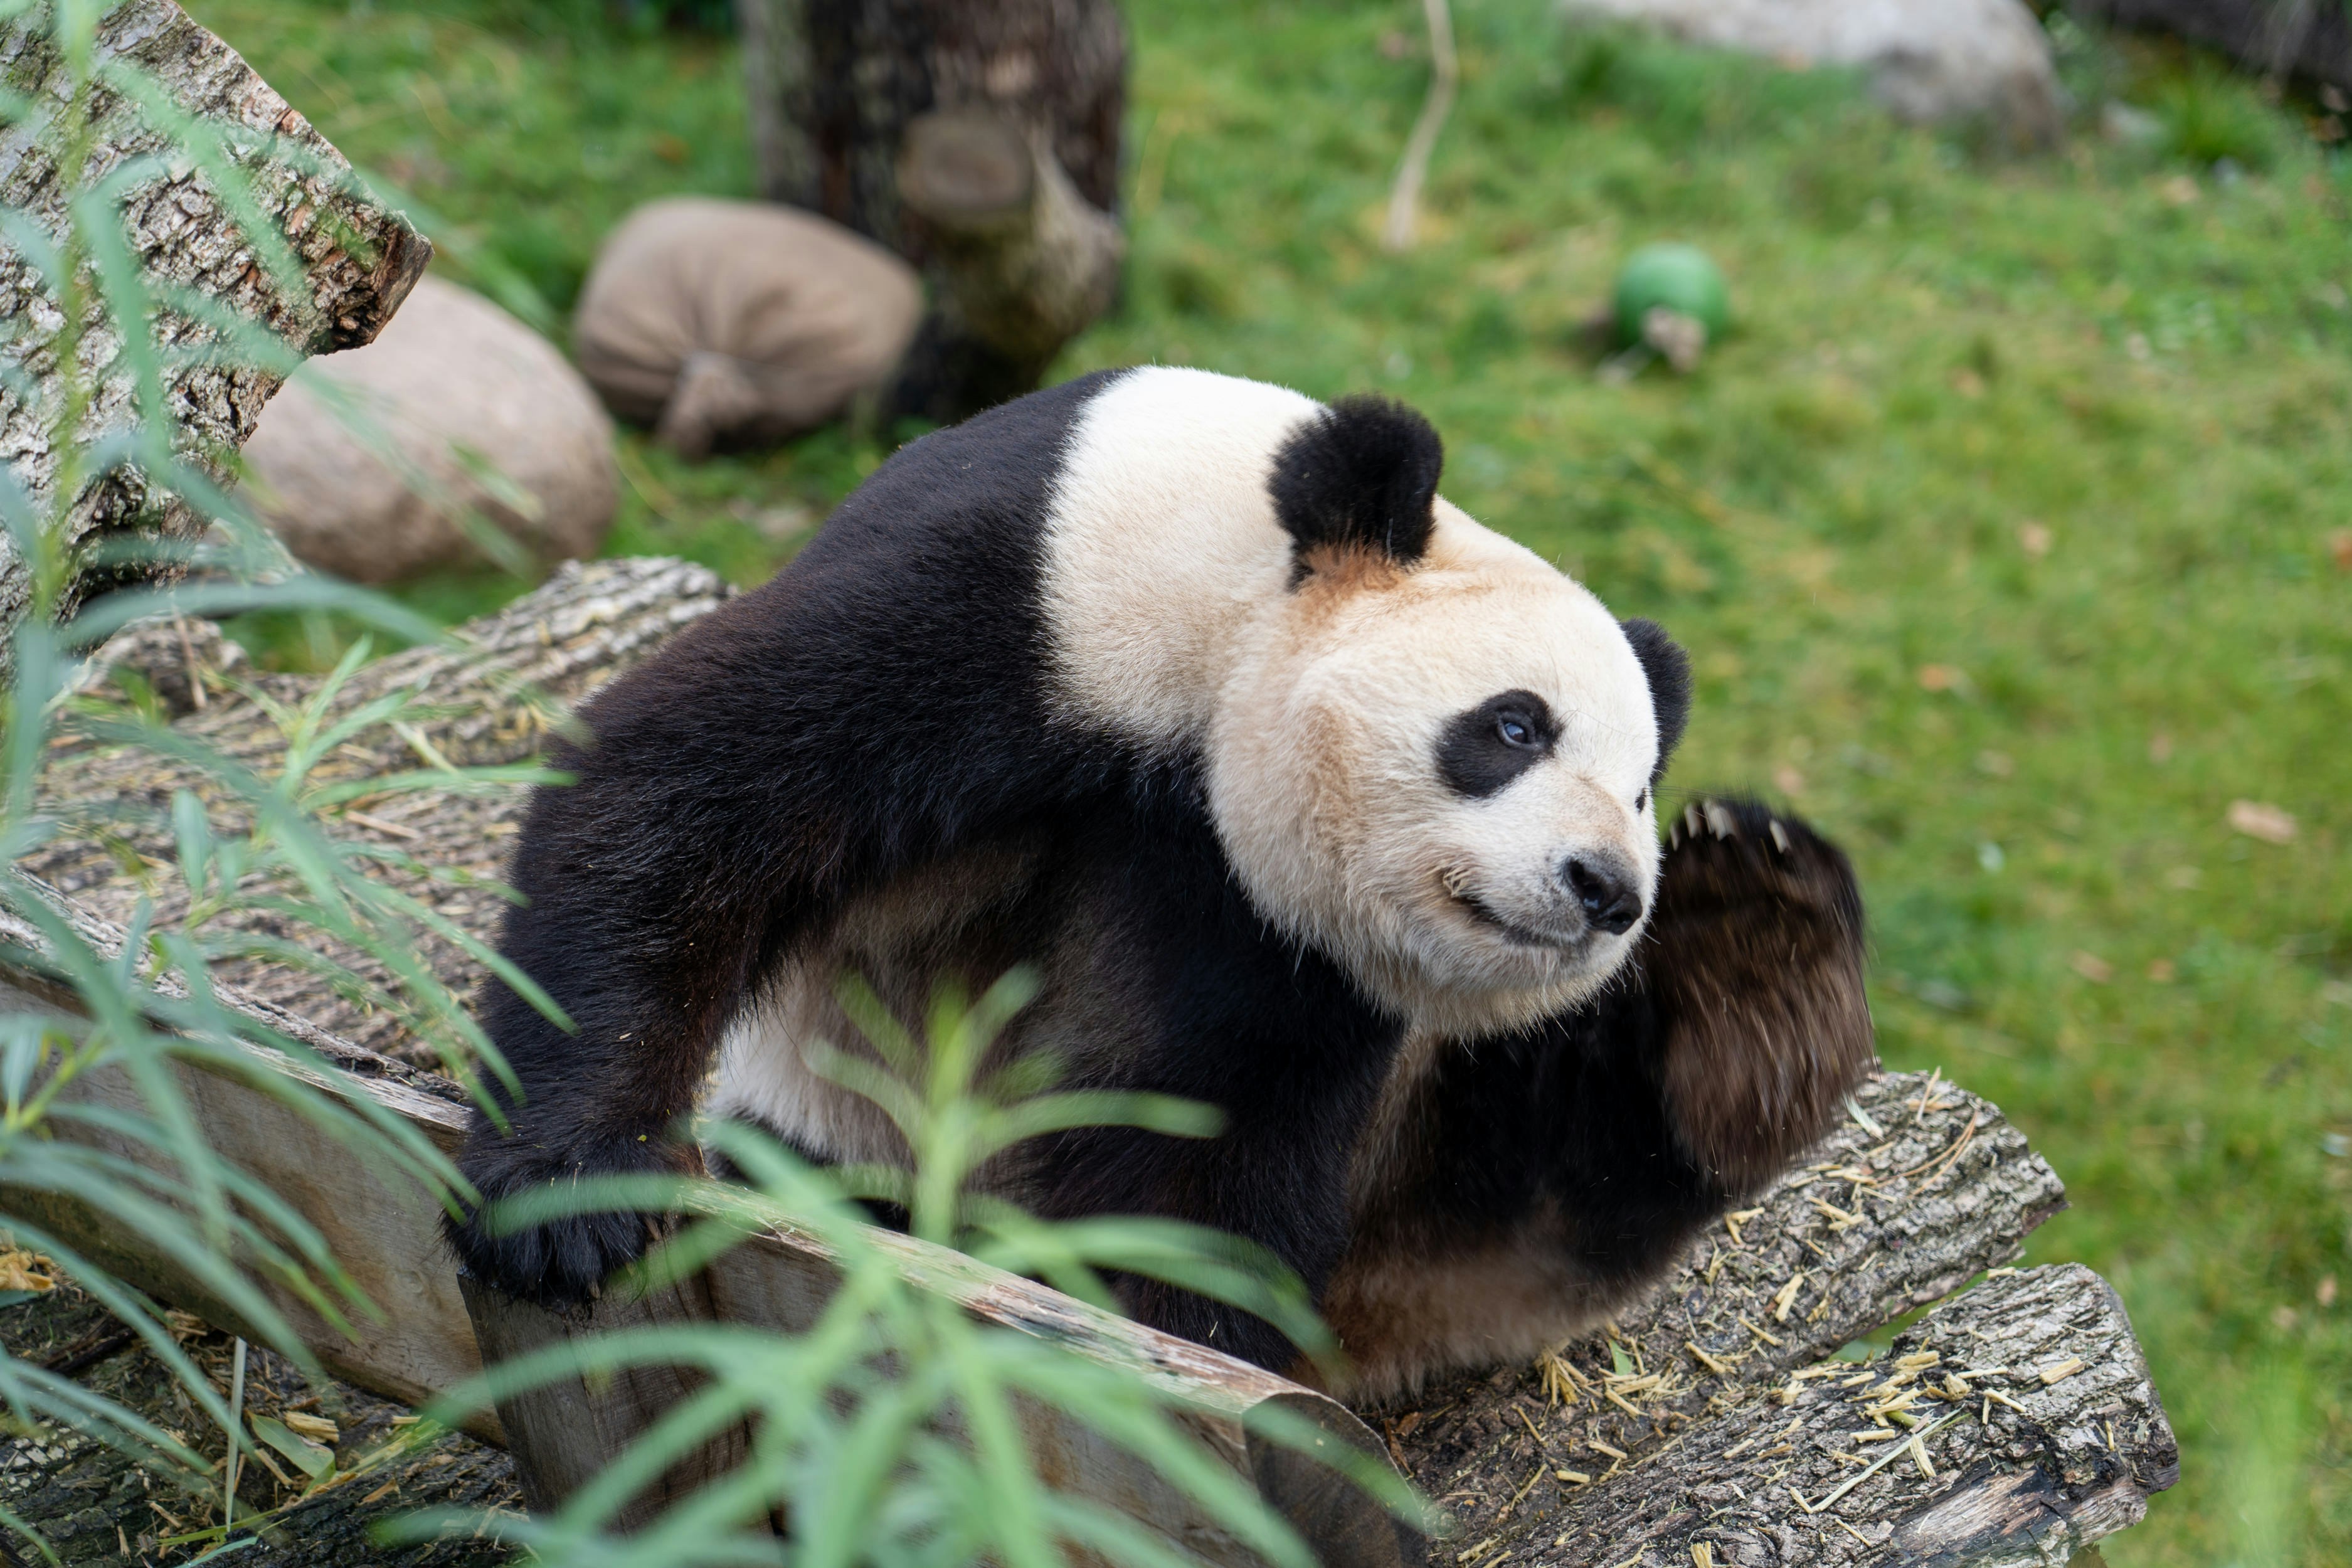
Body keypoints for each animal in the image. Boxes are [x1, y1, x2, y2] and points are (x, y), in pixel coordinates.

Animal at [449, 366, 1875, 1398]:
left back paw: (1758, 939)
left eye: (1639, 789)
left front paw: (1170, 1358)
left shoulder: (1281, 940)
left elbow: (1202, 1140)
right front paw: (567, 1204)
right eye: (1515, 726)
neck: (1225, 630)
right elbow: (690, 781)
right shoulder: (1026, 594)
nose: (1605, 888)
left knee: (1554, 1166)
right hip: (830, 1111)